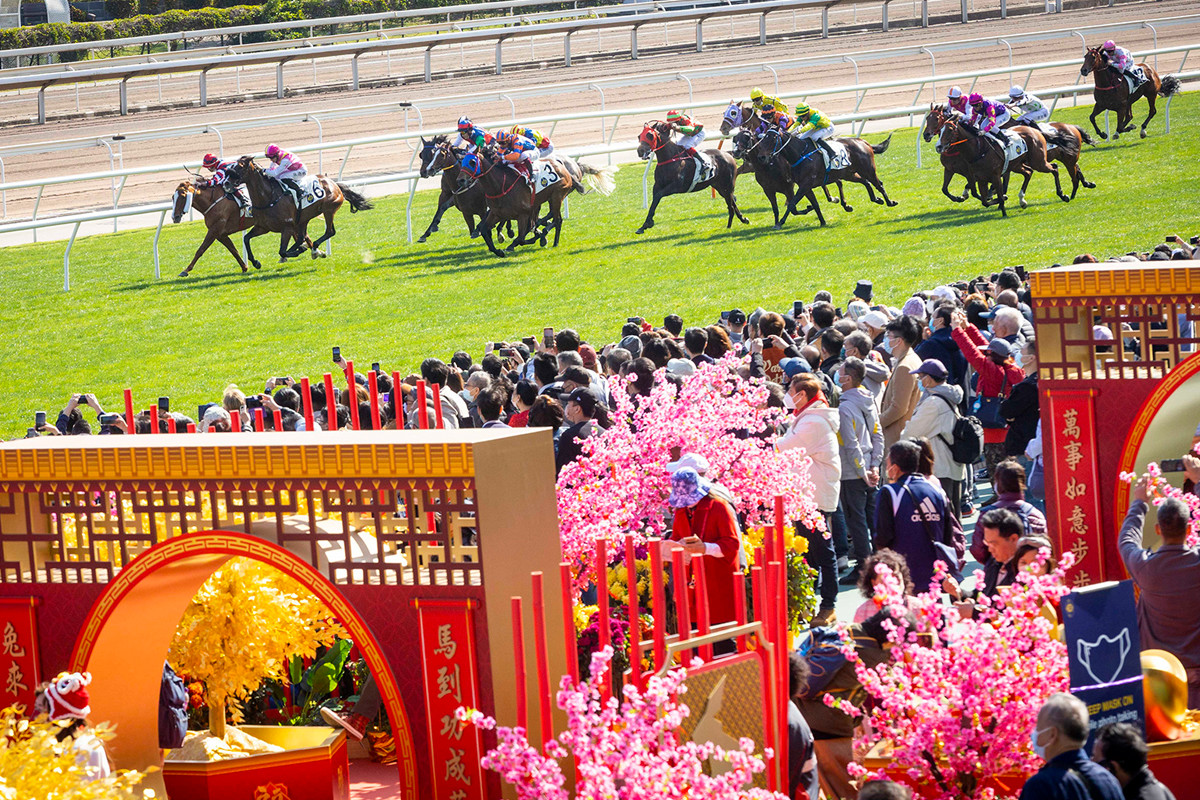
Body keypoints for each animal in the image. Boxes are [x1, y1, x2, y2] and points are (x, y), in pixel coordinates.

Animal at [223, 156, 373, 264]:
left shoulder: (287, 227)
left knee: (329, 231)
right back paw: (309, 249)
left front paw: (297, 251)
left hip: (328, 210)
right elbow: (246, 239)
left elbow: (282, 251)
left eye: (240, 167)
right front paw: (255, 262)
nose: (226, 183)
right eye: (231, 167)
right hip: (304, 218)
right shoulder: (263, 227)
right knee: (302, 236)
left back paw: (313, 249)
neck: (268, 197)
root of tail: (334, 183)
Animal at [935, 119, 1068, 217]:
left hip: (1038, 162)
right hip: (1017, 165)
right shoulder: (980, 178)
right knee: (1029, 172)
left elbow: (995, 194)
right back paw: (1022, 200)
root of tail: (1034, 130)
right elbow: (984, 201)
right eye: (939, 131)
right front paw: (999, 199)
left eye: (950, 130)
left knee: (1054, 168)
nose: (938, 146)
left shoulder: (994, 176)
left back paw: (1063, 195)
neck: (979, 150)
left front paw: (1003, 210)